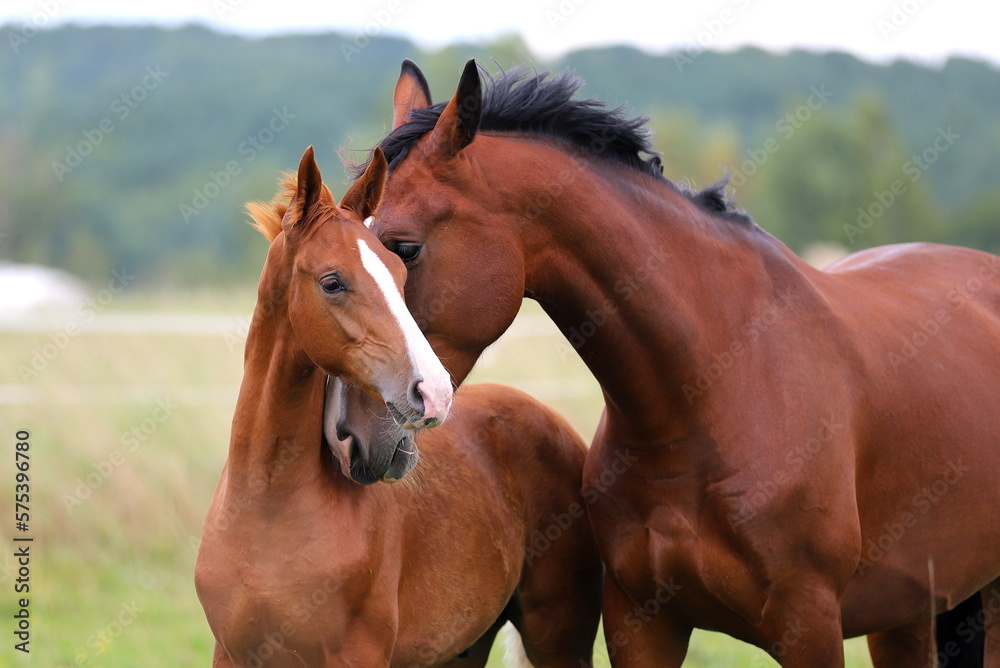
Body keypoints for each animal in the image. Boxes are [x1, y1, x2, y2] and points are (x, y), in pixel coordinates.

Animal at [194, 146, 603, 666]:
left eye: (400, 270)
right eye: (332, 281)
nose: (434, 391)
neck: (267, 511)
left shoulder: (357, 654)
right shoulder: (231, 653)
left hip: (558, 636)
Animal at [339, 59, 1000, 667]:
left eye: (403, 250)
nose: (353, 437)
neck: (717, 391)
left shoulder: (809, 624)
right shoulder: (642, 622)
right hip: (907, 612)